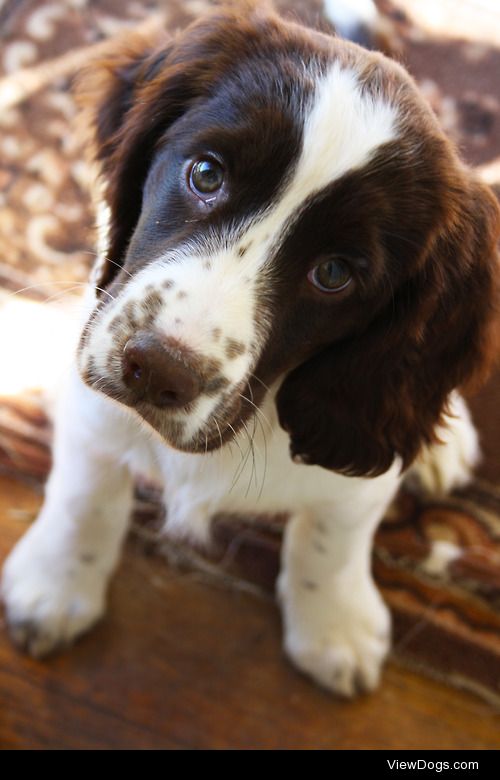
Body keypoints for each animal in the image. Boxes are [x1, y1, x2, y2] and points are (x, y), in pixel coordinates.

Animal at [1, 0, 498, 696]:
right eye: (206, 173)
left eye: (334, 273)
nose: (156, 371)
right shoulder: (92, 384)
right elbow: (84, 492)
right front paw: (57, 584)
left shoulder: (353, 466)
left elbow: (333, 536)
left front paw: (334, 627)